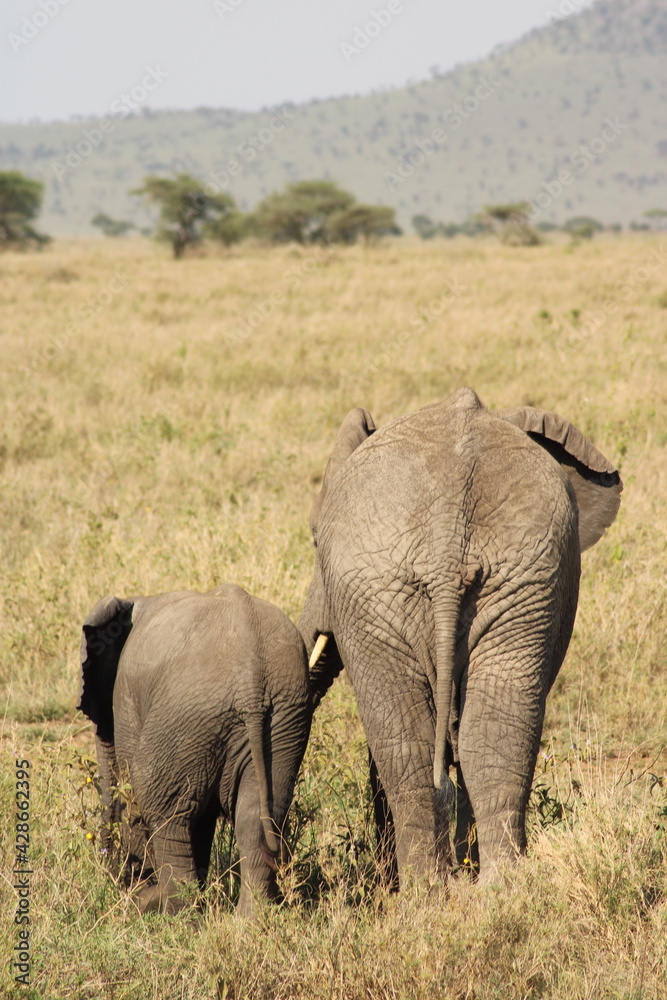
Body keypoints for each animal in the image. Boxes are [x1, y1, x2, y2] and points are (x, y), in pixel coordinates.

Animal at [77, 583, 312, 916]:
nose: (119, 875)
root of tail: (251, 677)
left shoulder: (125, 699)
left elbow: (134, 796)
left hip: (189, 713)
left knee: (164, 809)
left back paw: (175, 914)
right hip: (283, 717)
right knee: (258, 815)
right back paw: (250, 921)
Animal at [300, 387, 622, 886]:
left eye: (315, 540)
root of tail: (449, 529)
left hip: (394, 586)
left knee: (411, 743)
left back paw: (425, 890)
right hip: (514, 577)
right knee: (483, 733)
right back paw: (496, 888)